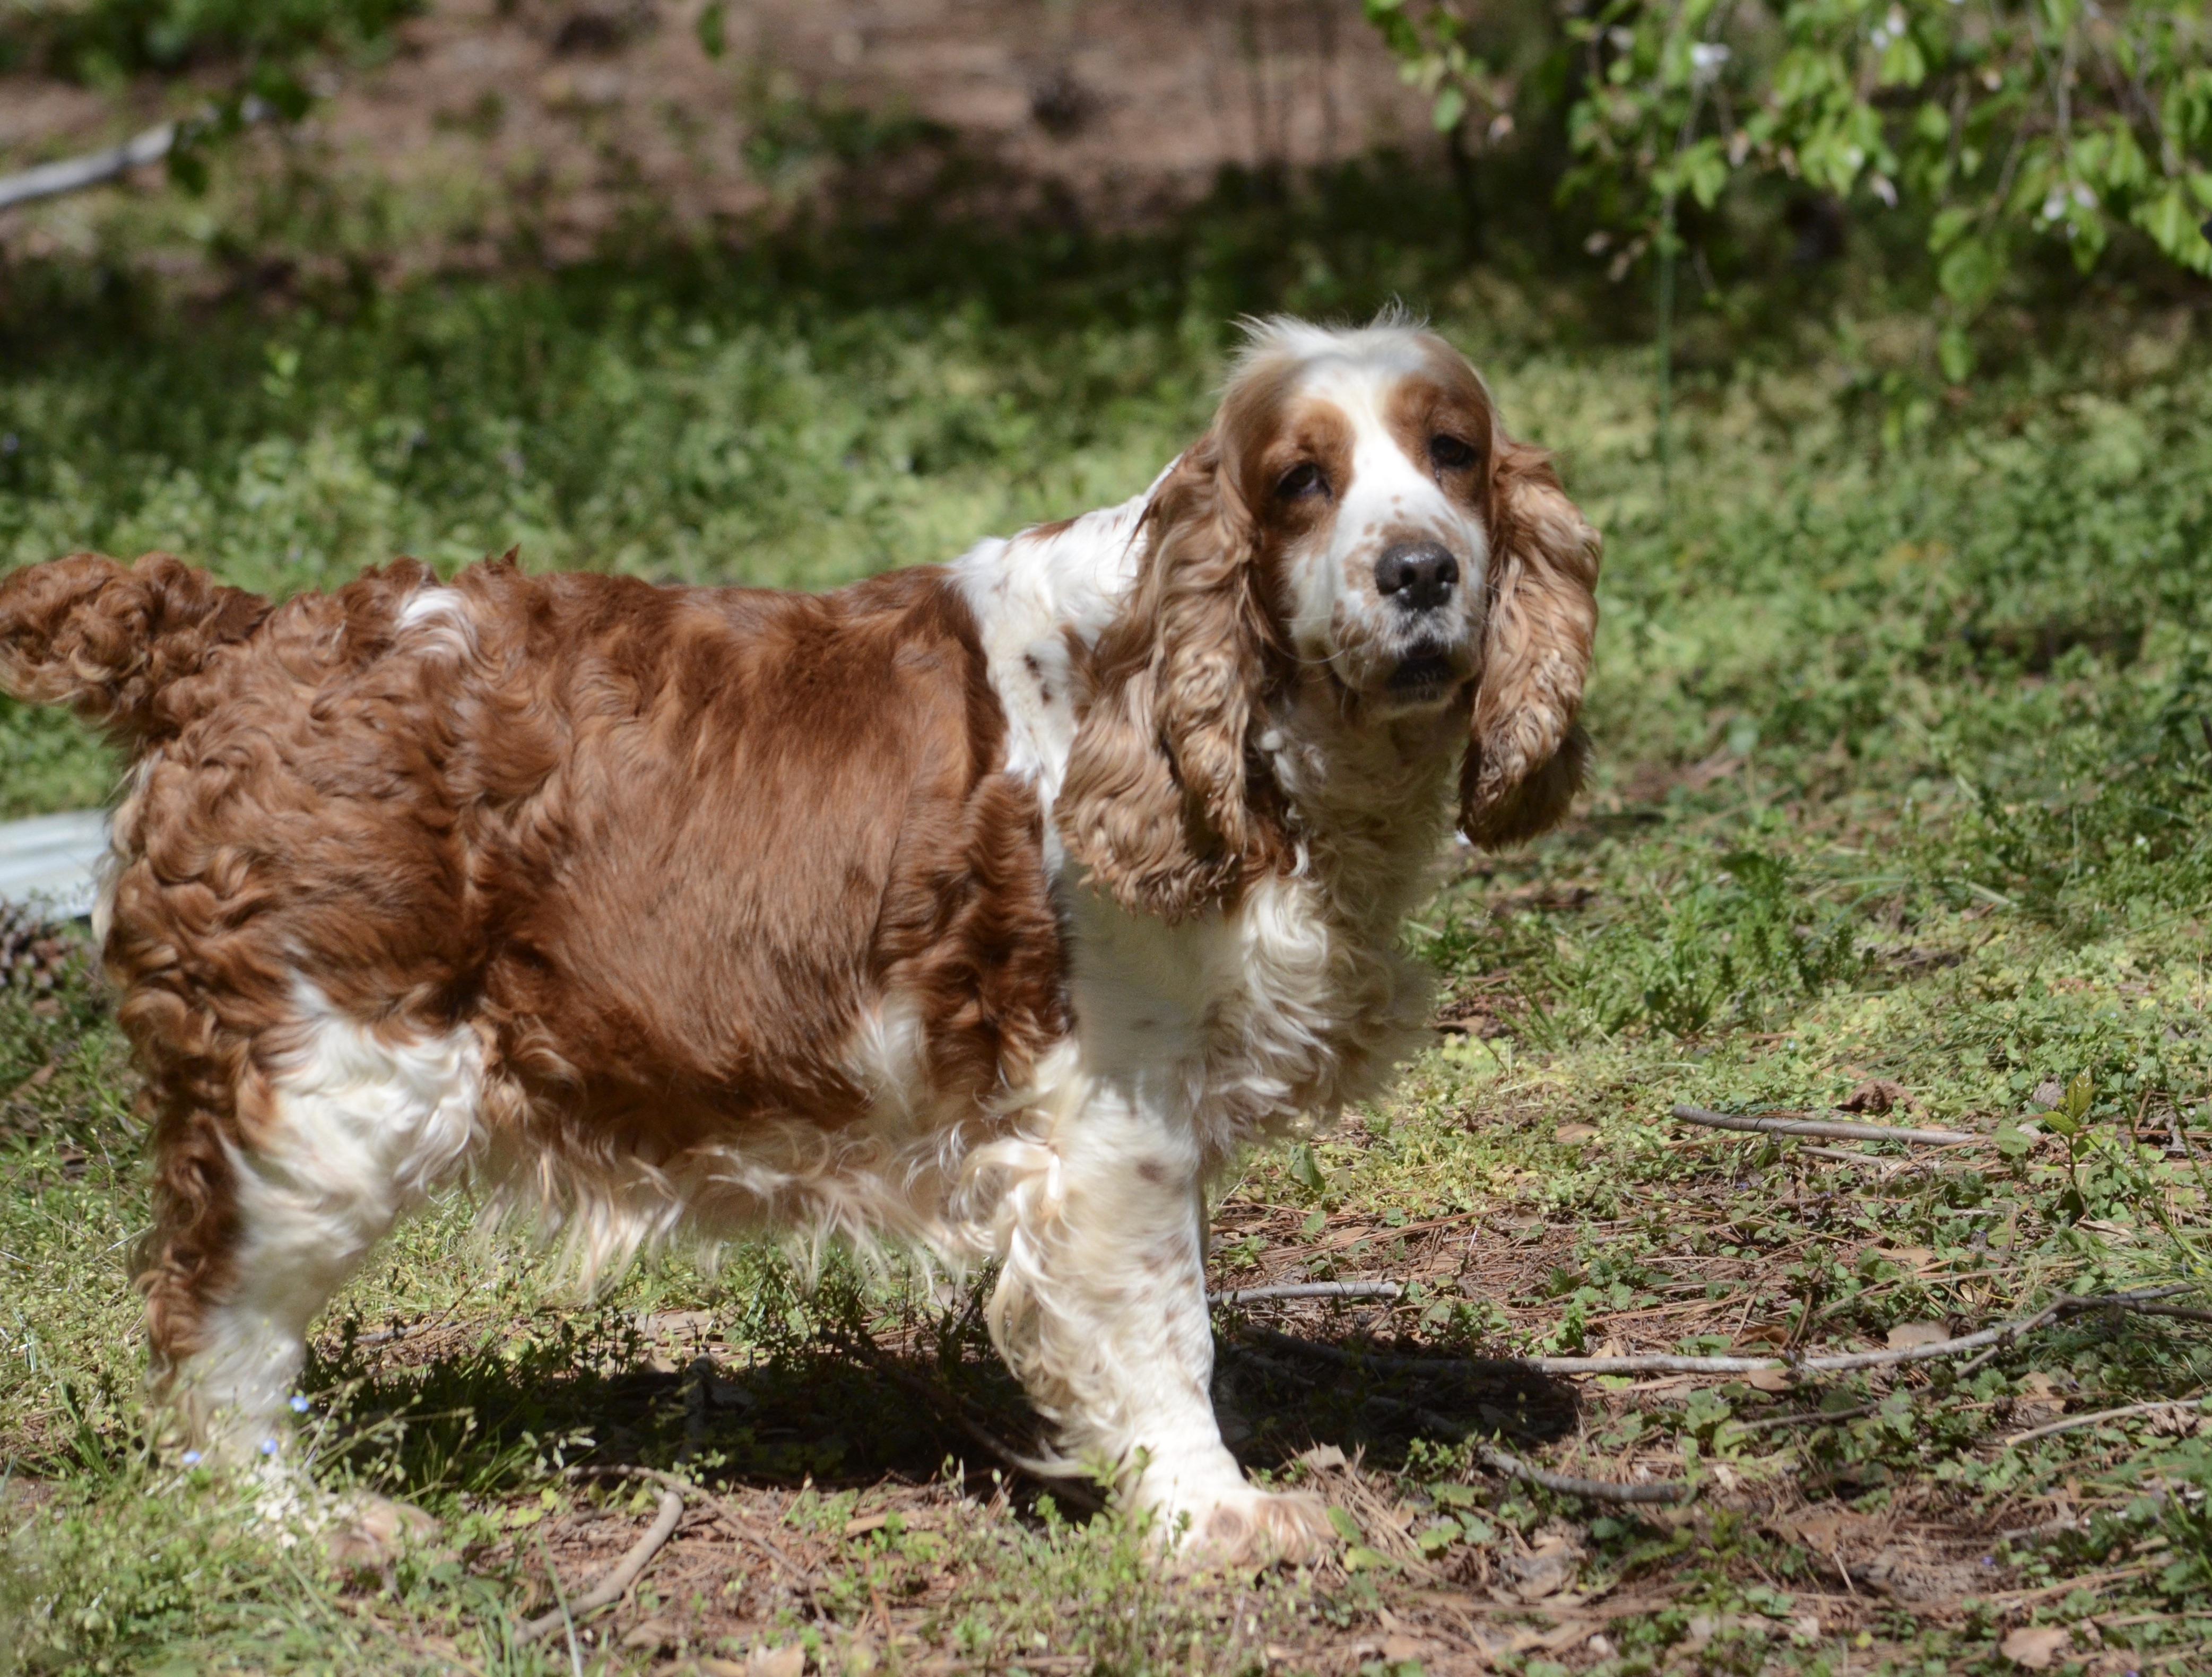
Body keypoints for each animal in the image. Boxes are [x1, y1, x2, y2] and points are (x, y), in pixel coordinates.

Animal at [0, 315, 1598, 1558]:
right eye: (1299, 481)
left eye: (1453, 452)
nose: (1418, 572)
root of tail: (233, 635)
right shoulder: (1110, 1118)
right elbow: (1164, 1326)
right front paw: (1216, 1517)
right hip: (328, 1095)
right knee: (215, 1328)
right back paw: (306, 1528)